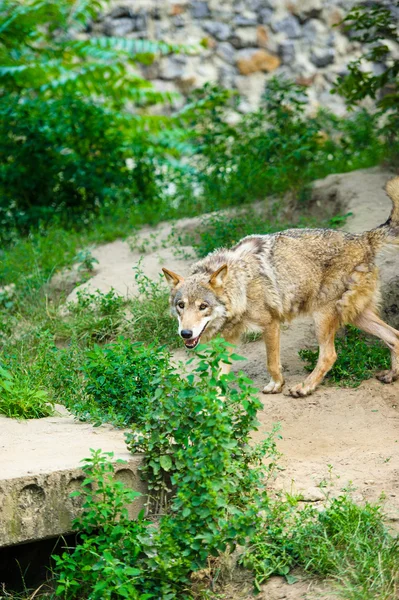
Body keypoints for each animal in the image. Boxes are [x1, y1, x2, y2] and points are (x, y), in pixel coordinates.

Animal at [162, 176, 399, 396]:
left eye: (203, 306)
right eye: (181, 306)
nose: (185, 333)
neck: (242, 286)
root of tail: (363, 238)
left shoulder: (271, 324)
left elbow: (272, 362)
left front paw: (276, 385)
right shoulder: (228, 339)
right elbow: (217, 377)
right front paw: (213, 405)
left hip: (323, 317)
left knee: (329, 355)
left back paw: (304, 388)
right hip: (356, 316)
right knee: (394, 336)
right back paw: (391, 375)